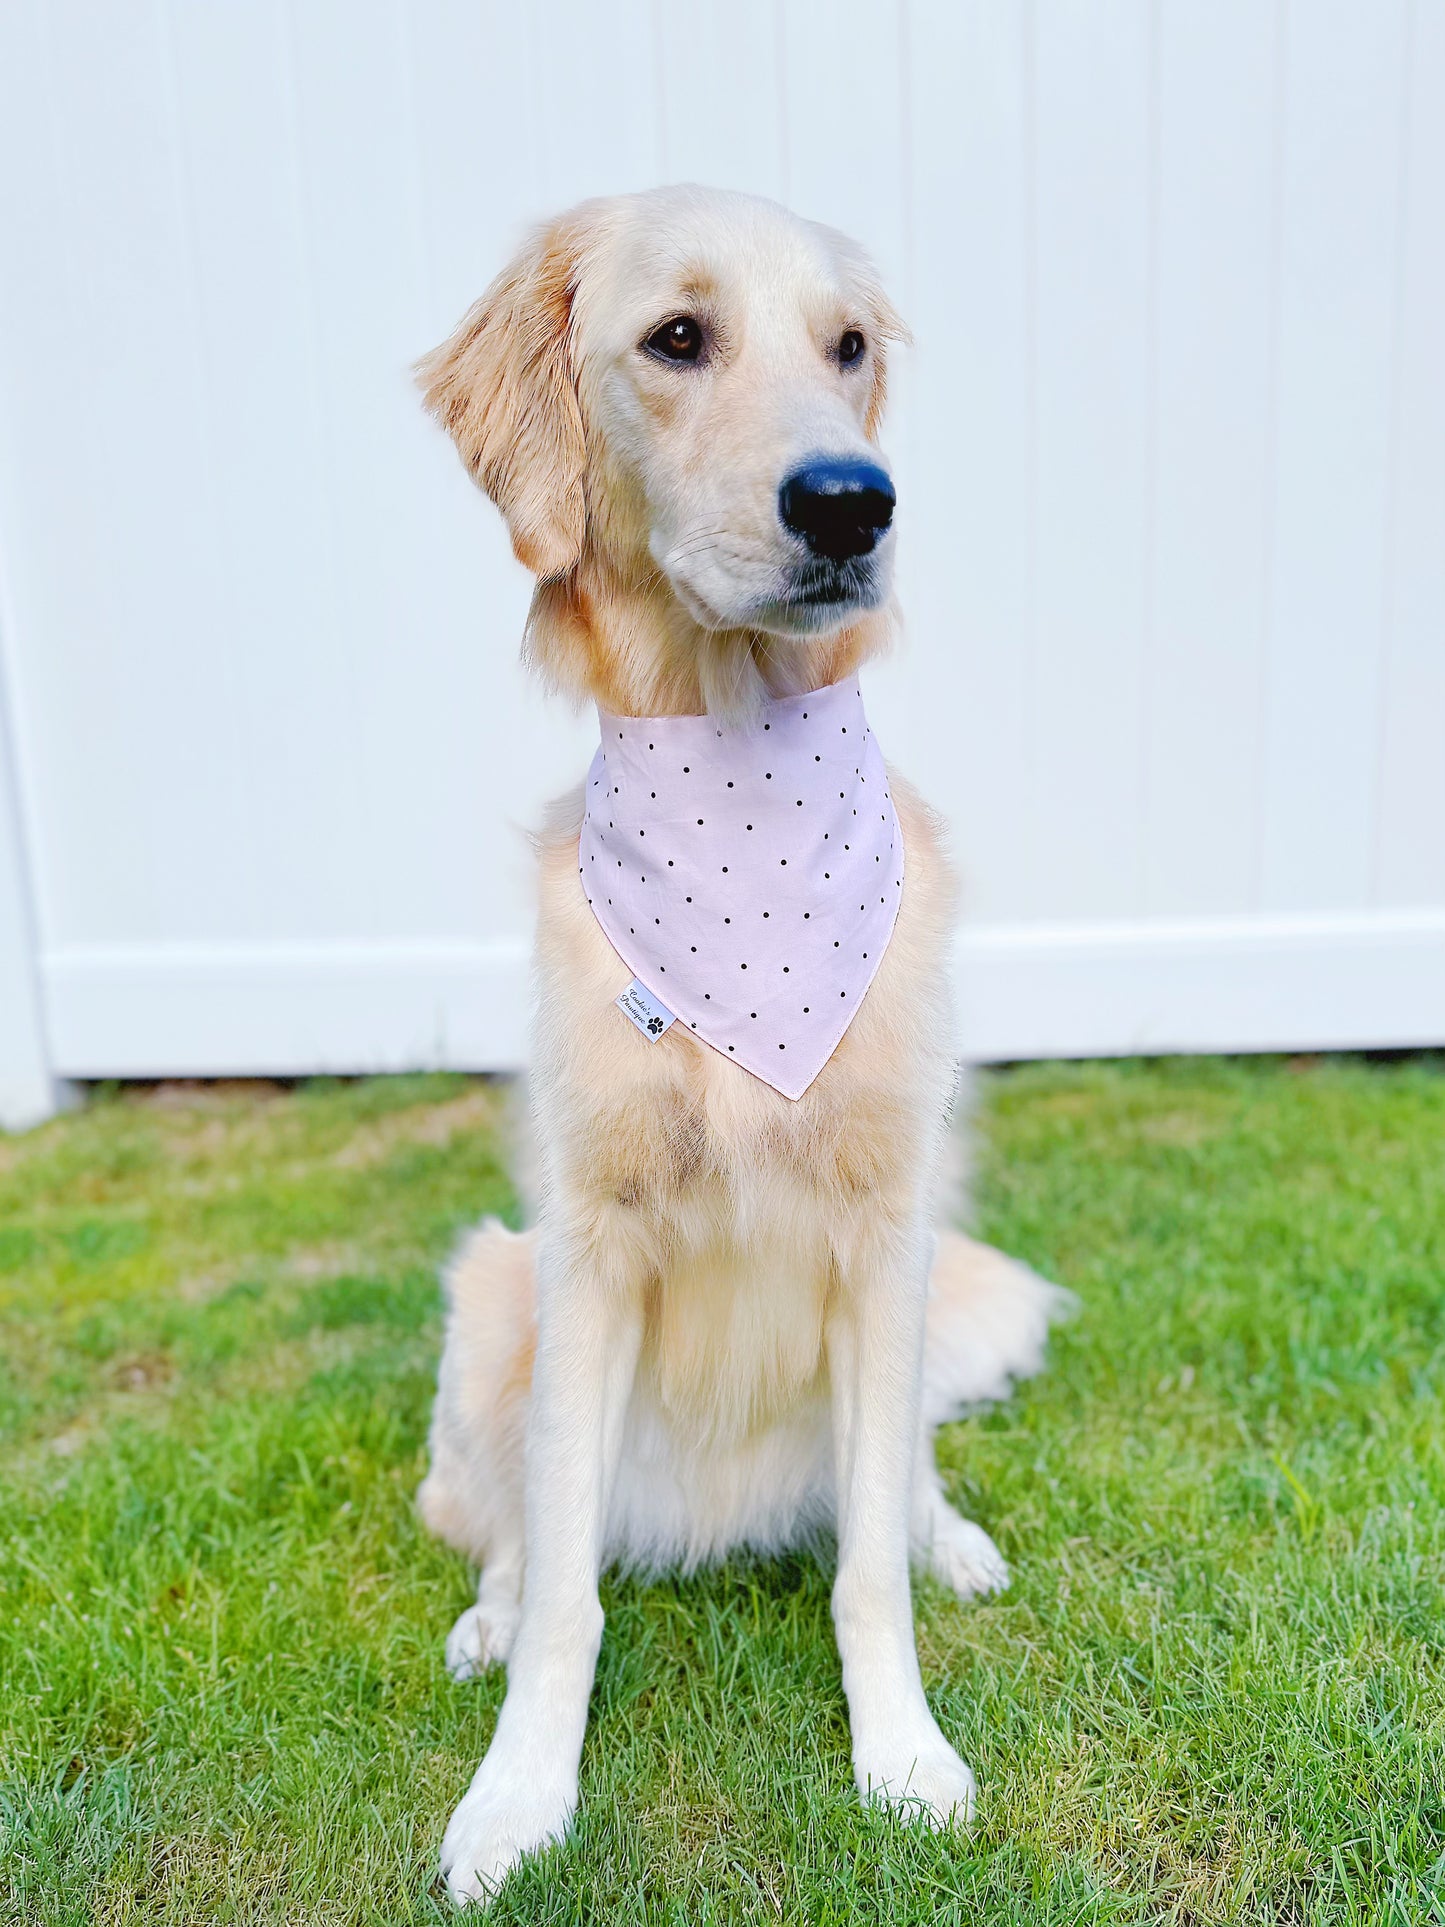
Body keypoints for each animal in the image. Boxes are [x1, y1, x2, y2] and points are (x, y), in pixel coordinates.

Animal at [412, 187, 1071, 1903]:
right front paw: (516, 1795)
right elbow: (566, 1596)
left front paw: (900, 1753)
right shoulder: (584, 1240)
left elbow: (866, 1573)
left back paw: (948, 1532)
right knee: (510, 1522)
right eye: (676, 337)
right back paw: (487, 1606)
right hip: (491, 1287)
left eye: (846, 348)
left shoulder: (887, 1220)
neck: (739, 779)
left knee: (897, 1481)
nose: (853, 503)